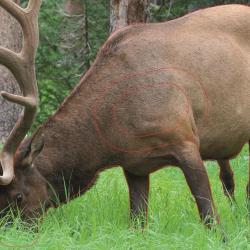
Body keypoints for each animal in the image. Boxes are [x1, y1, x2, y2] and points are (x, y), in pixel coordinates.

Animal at [0, 0, 250, 227]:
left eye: (18, 196)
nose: (15, 231)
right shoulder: (135, 165)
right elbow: (137, 221)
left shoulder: (185, 139)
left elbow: (209, 216)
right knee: (229, 178)